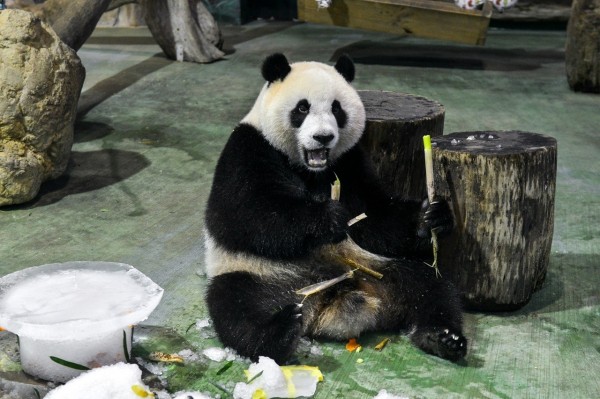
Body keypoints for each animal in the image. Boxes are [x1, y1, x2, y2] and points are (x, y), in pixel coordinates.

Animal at [204, 54, 466, 366]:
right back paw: (280, 332)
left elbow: (377, 216)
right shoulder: (249, 147)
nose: (323, 137)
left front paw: (431, 217)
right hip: (256, 273)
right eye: (302, 108)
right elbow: (243, 215)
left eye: (336, 108)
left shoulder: (349, 161)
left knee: (431, 287)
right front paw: (328, 217)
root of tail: (328, 301)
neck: (310, 169)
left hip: (375, 268)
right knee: (236, 308)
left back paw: (443, 338)